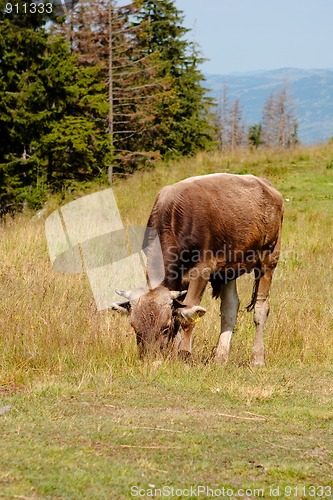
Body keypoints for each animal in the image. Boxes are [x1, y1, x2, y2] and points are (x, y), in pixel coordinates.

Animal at [111, 174, 282, 366]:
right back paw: (220, 357)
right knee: (230, 308)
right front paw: (174, 354)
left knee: (260, 309)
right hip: (229, 267)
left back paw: (257, 358)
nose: (150, 361)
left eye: (165, 327)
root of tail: (265, 184)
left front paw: (184, 356)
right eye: (135, 327)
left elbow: (187, 317)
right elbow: (179, 314)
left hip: (269, 259)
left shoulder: (201, 271)